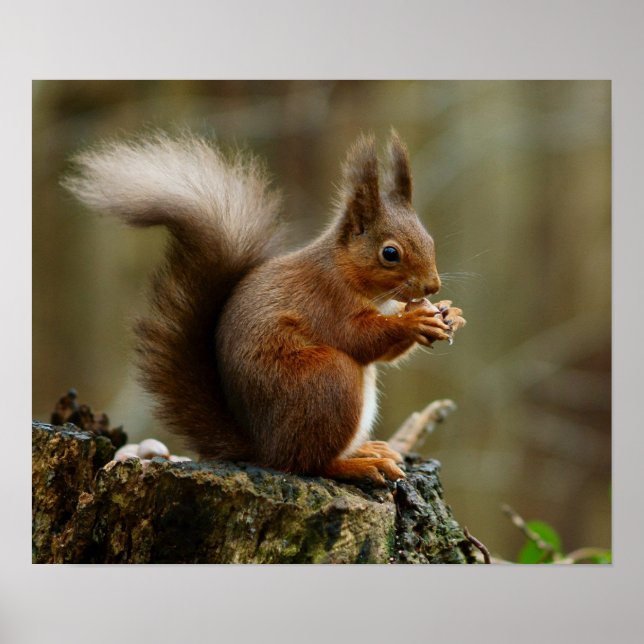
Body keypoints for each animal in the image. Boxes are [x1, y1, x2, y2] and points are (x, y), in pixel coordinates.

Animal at [63, 130, 465, 486]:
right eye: (390, 253)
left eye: (429, 239)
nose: (432, 286)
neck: (346, 272)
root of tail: (263, 448)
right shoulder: (326, 299)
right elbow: (360, 338)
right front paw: (415, 320)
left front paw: (450, 313)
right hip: (327, 380)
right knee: (308, 463)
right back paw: (358, 465)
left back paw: (368, 449)